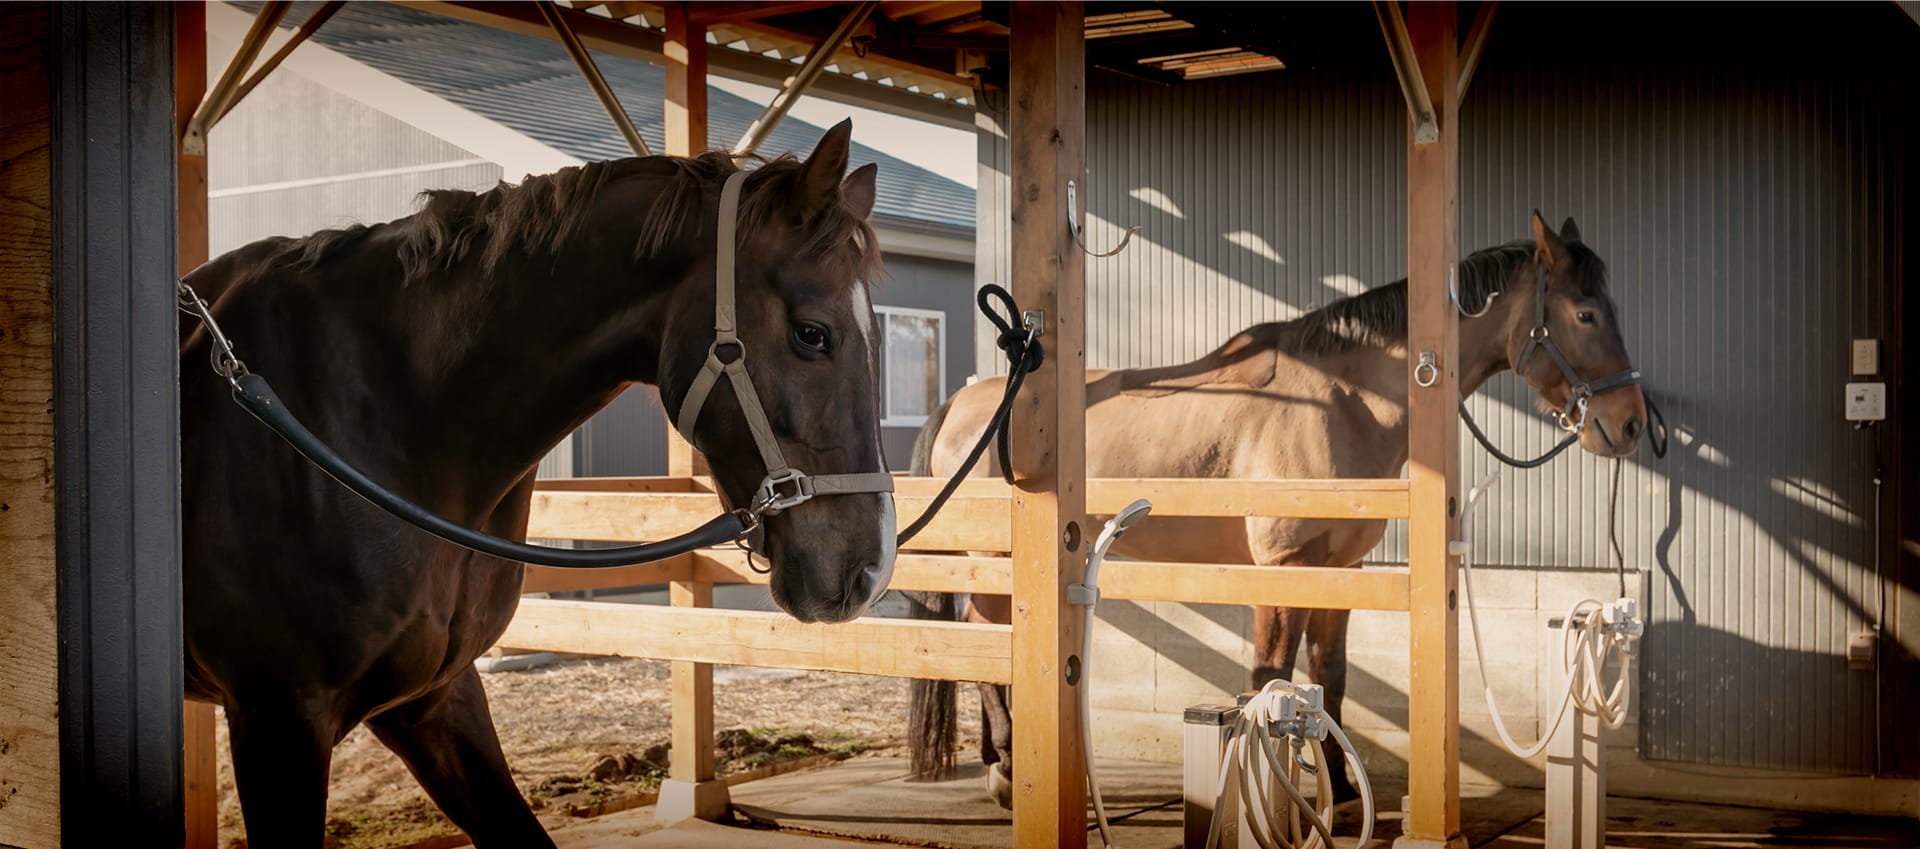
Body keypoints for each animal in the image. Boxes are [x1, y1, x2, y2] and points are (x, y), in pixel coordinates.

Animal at [906, 215, 1643, 806]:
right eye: (1585, 314)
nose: (1633, 423)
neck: (1345, 400)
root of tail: (962, 402)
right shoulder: (1282, 568)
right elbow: (1272, 676)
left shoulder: (1339, 570)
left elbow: (1330, 679)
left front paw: (1339, 787)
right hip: (992, 561)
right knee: (984, 645)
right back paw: (1006, 770)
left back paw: (997, 759)